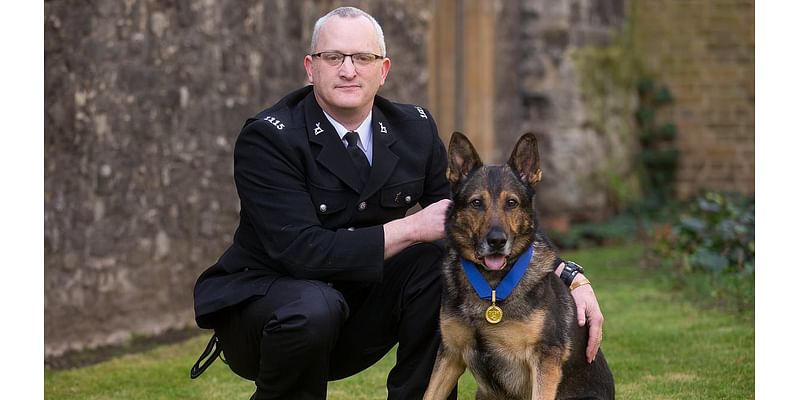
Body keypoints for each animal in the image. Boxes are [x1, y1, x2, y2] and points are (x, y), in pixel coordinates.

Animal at [424, 133, 612, 398]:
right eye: (476, 203)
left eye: (511, 203)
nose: (496, 241)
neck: (492, 285)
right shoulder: (450, 356)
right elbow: (428, 393)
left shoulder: (545, 360)